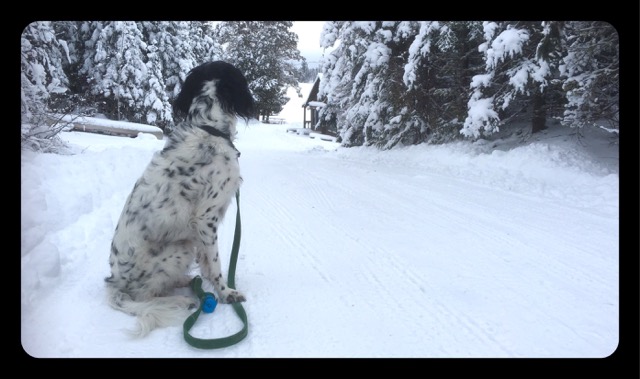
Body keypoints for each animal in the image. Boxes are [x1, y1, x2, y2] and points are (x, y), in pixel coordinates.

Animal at [105, 60, 255, 336]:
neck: (209, 127)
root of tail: (114, 283)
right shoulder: (206, 219)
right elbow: (216, 263)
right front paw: (226, 293)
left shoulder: (202, 229)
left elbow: (207, 261)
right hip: (179, 248)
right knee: (144, 297)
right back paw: (181, 300)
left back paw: (185, 282)